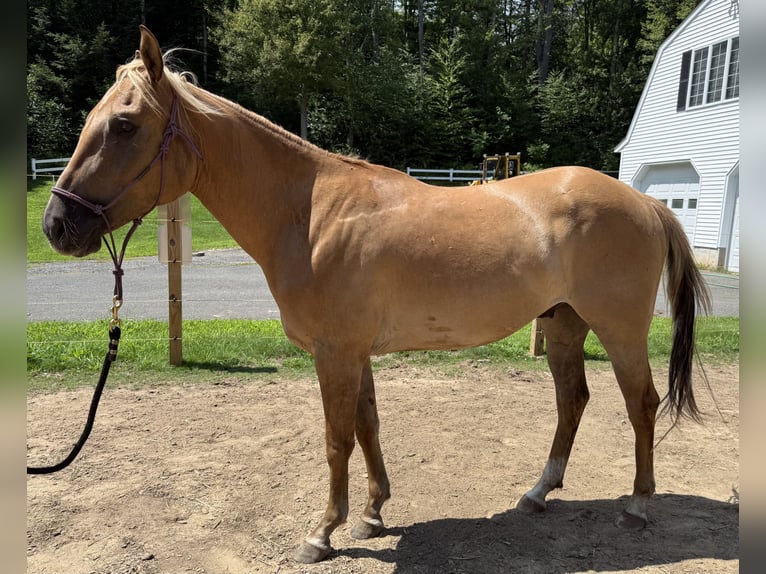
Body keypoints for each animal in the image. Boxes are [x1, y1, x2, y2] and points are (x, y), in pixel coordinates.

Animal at [42, 26, 711, 564]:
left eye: (124, 124)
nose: (57, 224)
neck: (311, 213)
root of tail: (644, 201)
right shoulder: (354, 352)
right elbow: (367, 426)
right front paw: (370, 514)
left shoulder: (334, 352)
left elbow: (337, 438)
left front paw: (322, 532)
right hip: (565, 324)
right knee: (572, 401)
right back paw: (538, 493)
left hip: (618, 329)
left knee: (642, 405)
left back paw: (637, 507)